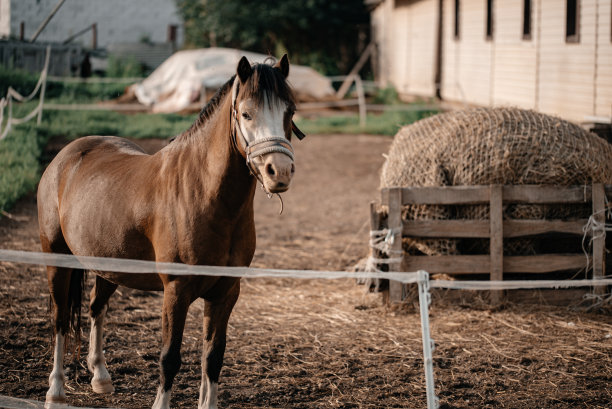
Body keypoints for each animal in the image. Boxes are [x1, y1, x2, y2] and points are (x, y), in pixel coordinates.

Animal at [37, 55, 302, 408]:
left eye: (290, 113)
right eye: (246, 113)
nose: (279, 172)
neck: (203, 194)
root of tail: (66, 156)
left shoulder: (226, 291)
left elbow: (213, 357)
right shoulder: (176, 291)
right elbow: (169, 358)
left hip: (108, 264)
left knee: (96, 308)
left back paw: (101, 377)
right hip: (56, 258)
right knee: (59, 319)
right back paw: (55, 391)